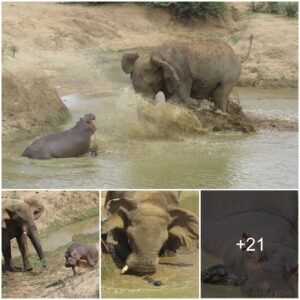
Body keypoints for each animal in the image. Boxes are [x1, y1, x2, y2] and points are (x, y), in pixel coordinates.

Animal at [122, 34, 253, 111]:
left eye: (151, 84)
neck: (155, 56)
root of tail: (238, 56)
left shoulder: (181, 72)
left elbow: (179, 99)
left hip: (230, 75)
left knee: (219, 97)